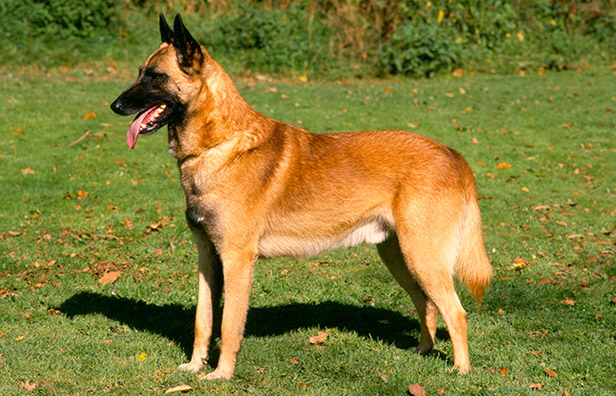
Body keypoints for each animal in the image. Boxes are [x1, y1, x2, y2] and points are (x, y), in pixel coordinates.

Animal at [110, 13, 494, 378]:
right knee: (428, 305)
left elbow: (230, 326)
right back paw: (423, 352)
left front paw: (221, 375)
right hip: (400, 258)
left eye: (156, 77)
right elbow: (203, 321)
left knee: (455, 312)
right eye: (140, 73)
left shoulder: (237, 260)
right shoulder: (208, 259)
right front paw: (194, 367)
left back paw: (460, 370)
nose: (114, 106)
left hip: (423, 258)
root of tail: (453, 154)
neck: (219, 145)